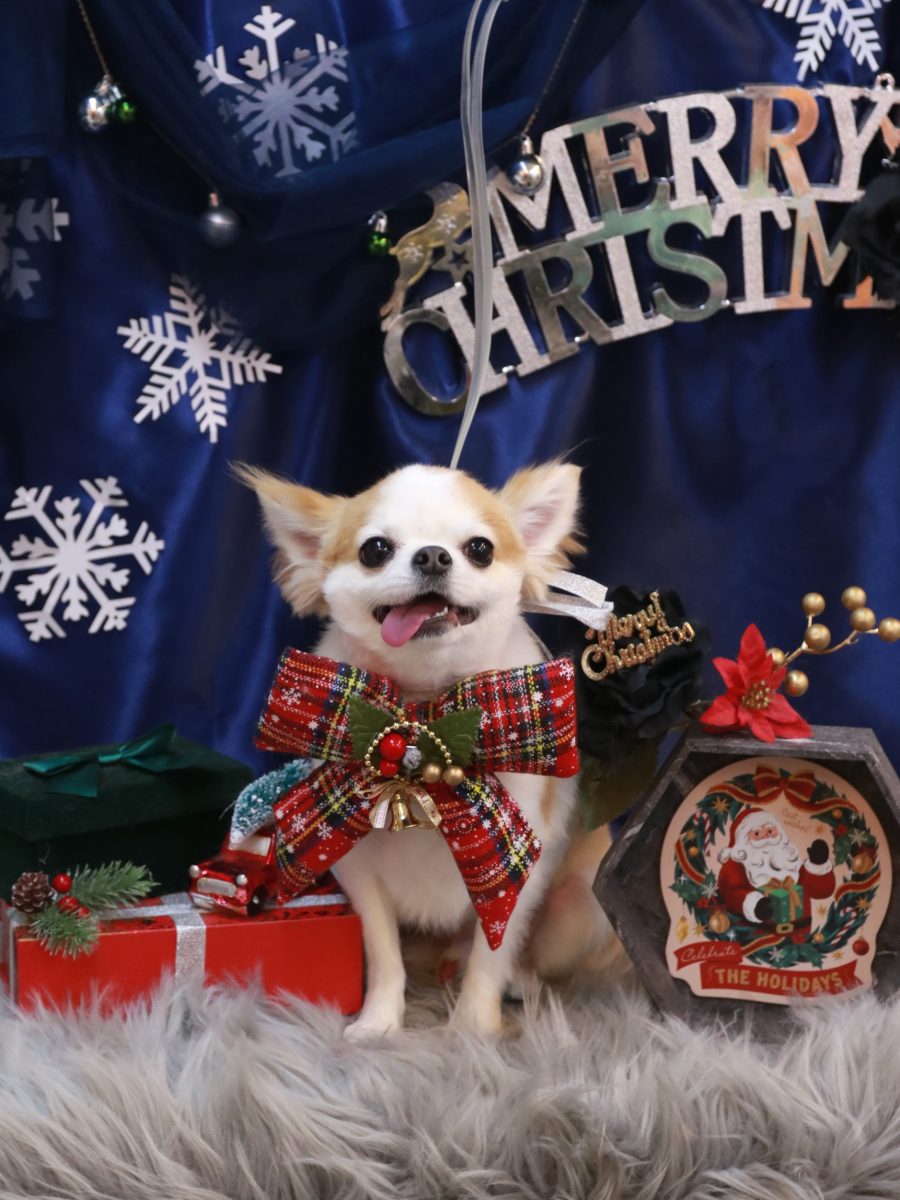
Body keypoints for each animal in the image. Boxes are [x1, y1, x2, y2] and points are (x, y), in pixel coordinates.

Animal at [240, 461, 614, 1037]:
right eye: (375, 549)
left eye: (480, 549)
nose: (433, 555)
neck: (424, 709)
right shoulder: (357, 866)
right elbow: (383, 951)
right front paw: (378, 1023)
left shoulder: (519, 867)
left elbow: (491, 953)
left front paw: (474, 1030)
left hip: (580, 907)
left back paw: (519, 985)